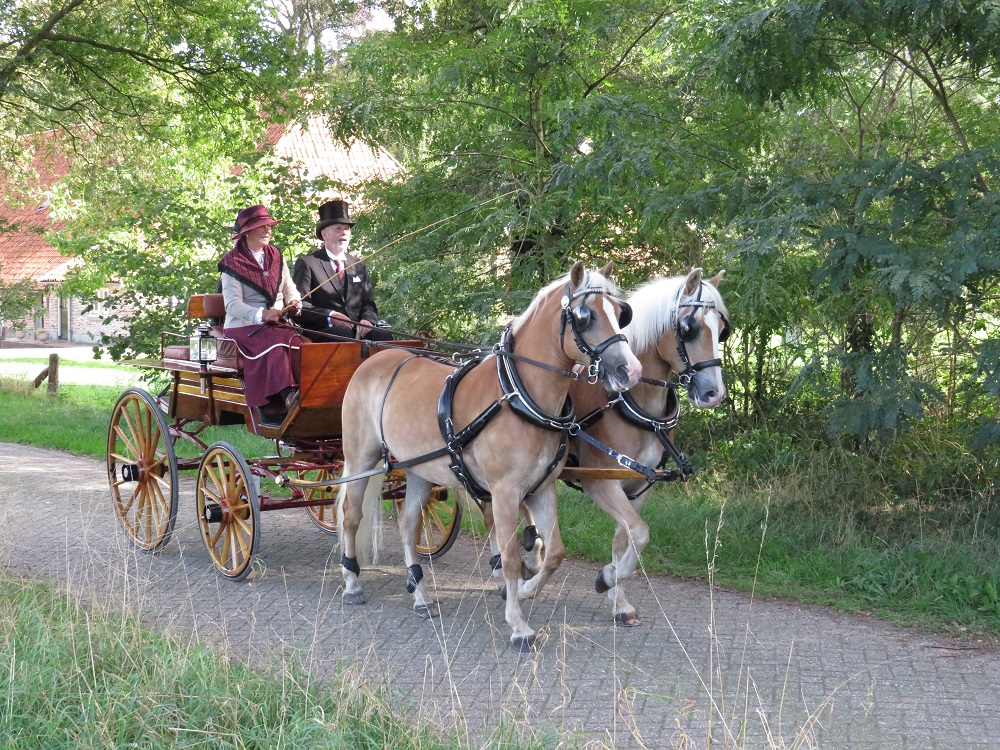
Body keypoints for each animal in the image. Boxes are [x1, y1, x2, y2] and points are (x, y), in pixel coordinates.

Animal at [337, 261, 643, 650]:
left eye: (621, 313)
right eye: (584, 316)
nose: (630, 370)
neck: (520, 396)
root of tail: (375, 359)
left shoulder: (542, 489)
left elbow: (555, 552)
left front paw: (528, 590)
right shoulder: (504, 492)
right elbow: (509, 557)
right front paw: (518, 624)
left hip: (419, 469)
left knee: (407, 525)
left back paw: (420, 596)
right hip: (360, 459)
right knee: (351, 516)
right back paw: (352, 583)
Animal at [565, 267, 730, 625]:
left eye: (723, 330)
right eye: (689, 329)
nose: (714, 393)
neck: (628, 402)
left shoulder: (639, 487)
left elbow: (625, 537)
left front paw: (619, 601)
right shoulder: (601, 482)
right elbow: (641, 533)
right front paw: (607, 578)